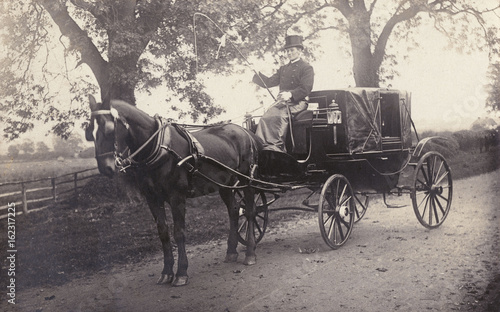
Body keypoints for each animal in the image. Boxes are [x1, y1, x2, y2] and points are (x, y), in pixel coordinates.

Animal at [85, 95, 266, 286]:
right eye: (89, 132)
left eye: (109, 129)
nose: (105, 168)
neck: (158, 147)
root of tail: (244, 131)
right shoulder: (152, 198)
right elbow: (163, 233)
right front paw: (166, 272)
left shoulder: (176, 196)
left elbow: (179, 232)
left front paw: (181, 272)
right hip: (226, 184)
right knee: (233, 210)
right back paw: (231, 251)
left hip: (247, 180)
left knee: (250, 212)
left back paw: (250, 252)